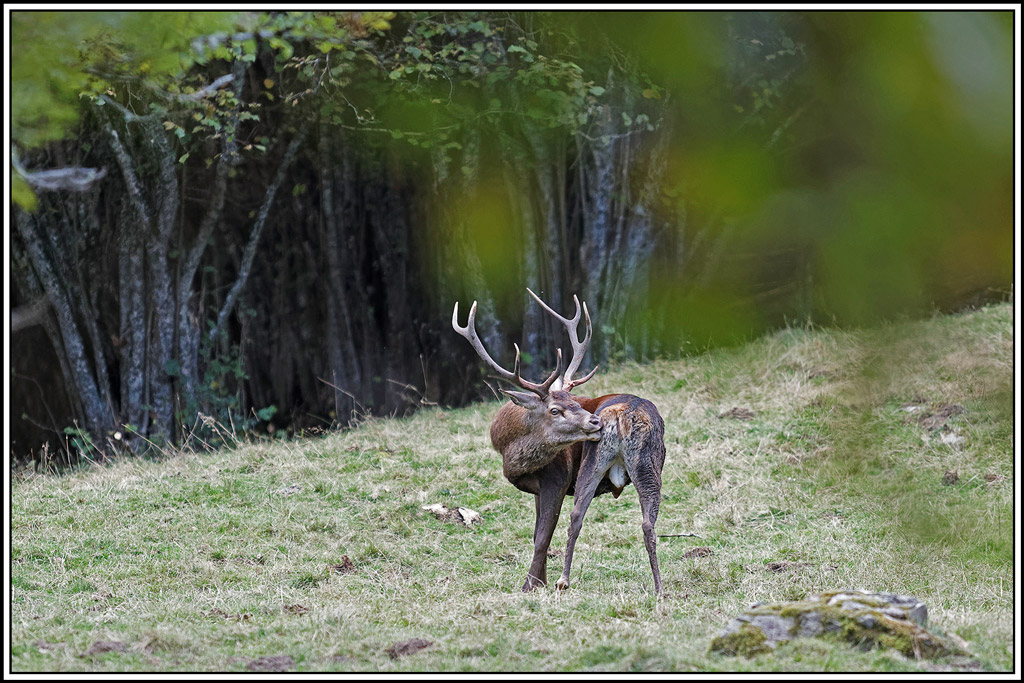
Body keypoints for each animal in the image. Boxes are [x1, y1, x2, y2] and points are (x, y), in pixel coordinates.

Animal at [452, 288, 666, 594]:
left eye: (573, 402)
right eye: (556, 409)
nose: (595, 421)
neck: (510, 454)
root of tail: (624, 414)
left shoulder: (558, 476)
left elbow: (543, 536)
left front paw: (530, 585)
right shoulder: (539, 488)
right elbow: (536, 534)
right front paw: (539, 580)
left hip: (607, 461)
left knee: (578, 516)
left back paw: (564, 580)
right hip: (644, 463)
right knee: (645, 522)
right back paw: (658, 587)